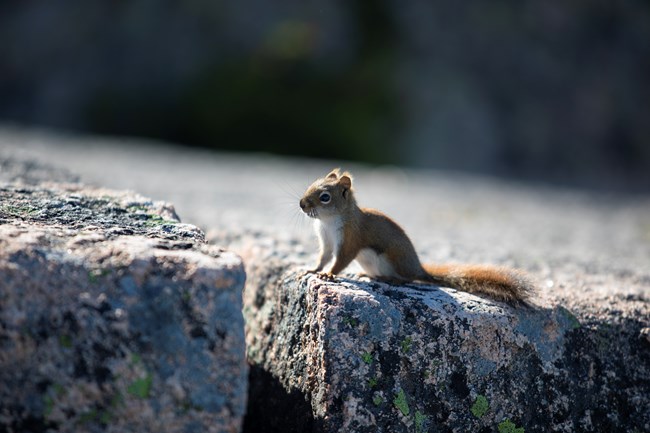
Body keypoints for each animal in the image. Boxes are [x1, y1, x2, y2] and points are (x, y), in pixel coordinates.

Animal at [298, 168, 532, 304]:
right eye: (310, 185)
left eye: (325, 197)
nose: (302, 204)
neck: (328, 222)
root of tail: (418, 267)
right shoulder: (326, 241)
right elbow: (324, 257)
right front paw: (313, 269)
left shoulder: (350, 238)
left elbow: (341, 260)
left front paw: (329, 274)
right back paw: (368, 275)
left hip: (392, 259)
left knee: (407, 278)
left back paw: (388, 278)